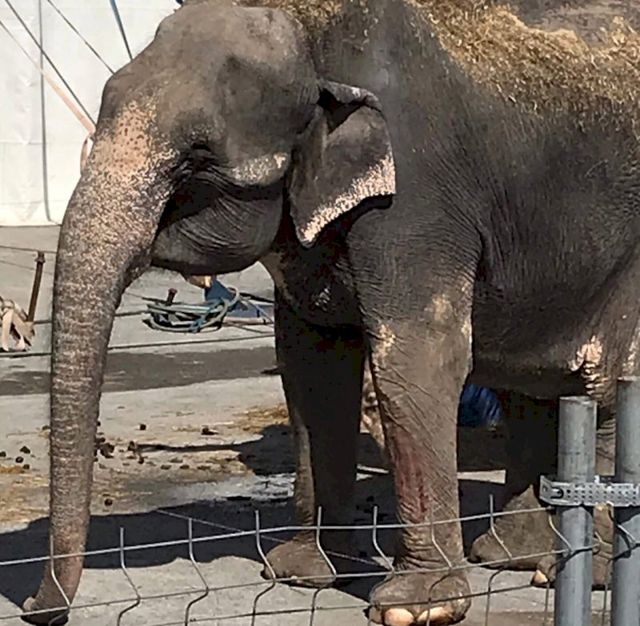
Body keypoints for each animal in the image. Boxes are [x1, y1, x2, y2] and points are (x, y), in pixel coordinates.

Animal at [22, 0, 640, 625]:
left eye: (196, 159)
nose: (35, 607)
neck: (312, 30)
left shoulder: (416, 196)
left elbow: (416, 357)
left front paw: (416, 607)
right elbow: (312, 364)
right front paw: (302, 572)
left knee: (606, 382)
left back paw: (582, 571)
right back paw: (517, 557)